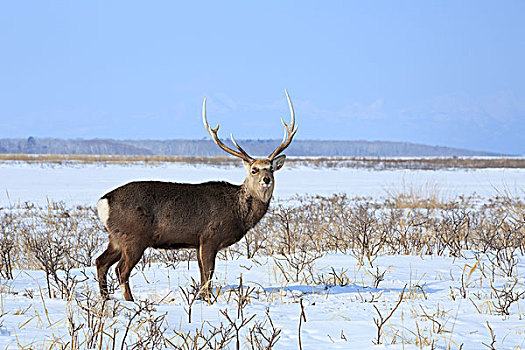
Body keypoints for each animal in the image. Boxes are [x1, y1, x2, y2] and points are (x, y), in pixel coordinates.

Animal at [94, 90, 296, 300]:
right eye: (254, 170)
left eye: (271, 169)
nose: (266, 179)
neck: (238, 212)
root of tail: (103, 202)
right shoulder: (209, 237)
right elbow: (207, 276)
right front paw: (207, 300)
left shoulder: (197, 242)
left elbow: (202, 276)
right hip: (134, 236)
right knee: (121, 270)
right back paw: (130, 302)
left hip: (116, 237)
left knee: (101, 262)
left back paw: (106, 298)